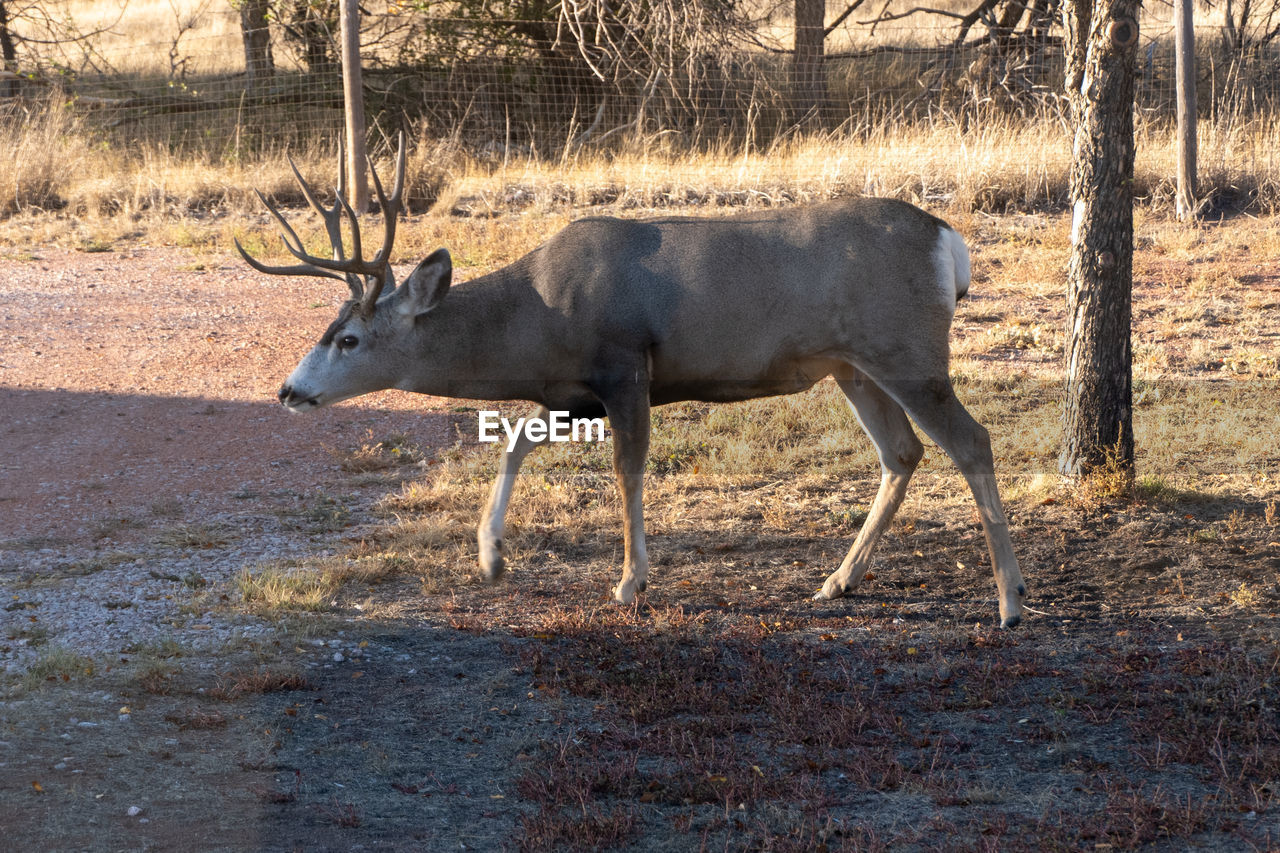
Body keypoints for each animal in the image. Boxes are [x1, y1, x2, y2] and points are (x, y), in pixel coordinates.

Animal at [240, 134, 1029, 625]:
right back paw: (837, 581)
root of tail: (949, 241)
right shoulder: (571, 390)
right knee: (903, 453)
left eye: (348, 337)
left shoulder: (624, 363)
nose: (288, 391)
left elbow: (628, 466)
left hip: (906, 347)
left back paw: (1011, 601)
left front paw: (629, 580)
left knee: (971, 441)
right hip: (852, 363)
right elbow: (518, 439)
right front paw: (491, 558)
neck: (537, 317)